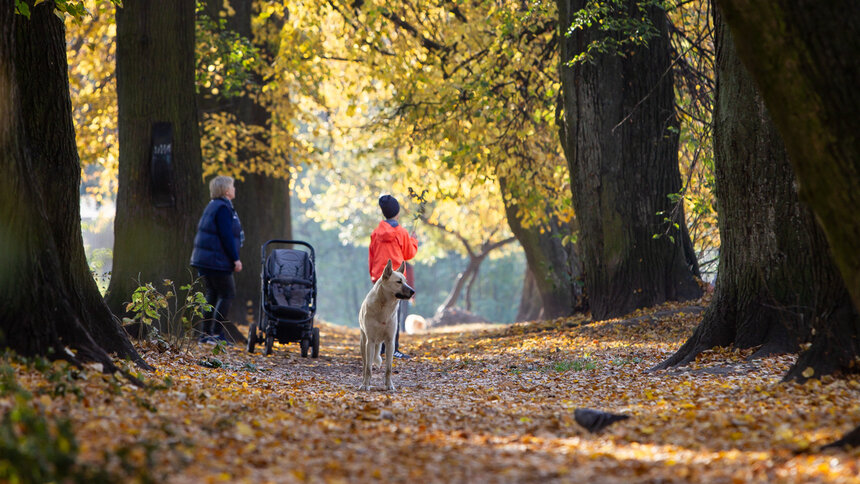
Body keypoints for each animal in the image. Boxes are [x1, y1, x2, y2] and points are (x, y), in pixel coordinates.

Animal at [360, 260, 416, 392]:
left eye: (405, 281)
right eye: (399, 282)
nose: (413, 291)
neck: (384, 307)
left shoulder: (390, 342)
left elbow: (389, 369)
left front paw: (389, 385)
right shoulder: (370, 342)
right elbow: (368, 368)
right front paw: (365, 384)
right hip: (364, 343)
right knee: (365, 364)